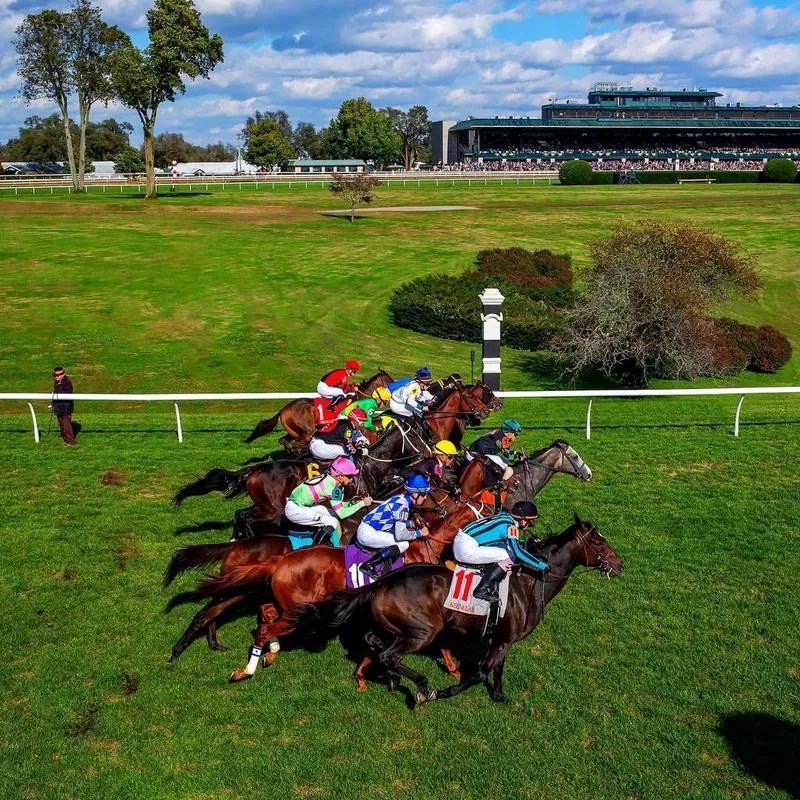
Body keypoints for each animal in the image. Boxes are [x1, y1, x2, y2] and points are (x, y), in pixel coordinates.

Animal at [244, 368, 394, 450]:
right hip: (306, 432)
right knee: (298, 443)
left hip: (294, 431)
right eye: (390, 380)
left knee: (283, 441)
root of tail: (284, 409)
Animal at [296, 512, 620, 708]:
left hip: (394, 625)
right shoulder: (503, 639)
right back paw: (423, 686)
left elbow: (498, 669)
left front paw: (499, 695)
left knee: (374, 643)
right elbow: (479, 673)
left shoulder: (502, 638)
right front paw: (446, 691)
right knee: (389, 654)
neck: (529, 583)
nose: (620, 565)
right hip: (423, 631)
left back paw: (390, 679)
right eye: (599, 542)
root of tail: (382, 581)